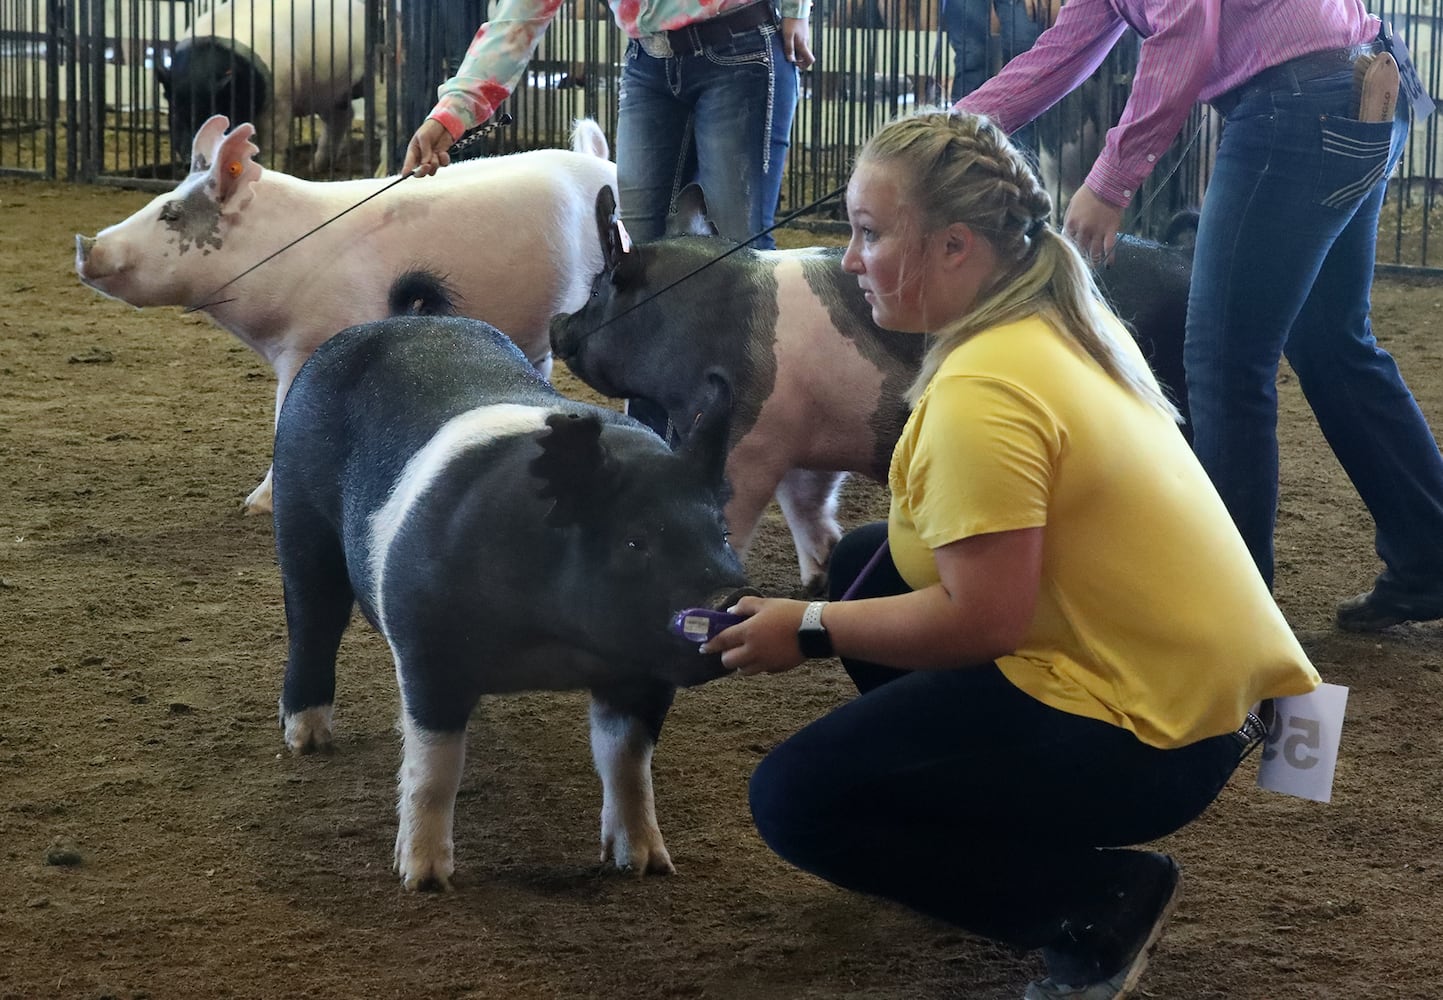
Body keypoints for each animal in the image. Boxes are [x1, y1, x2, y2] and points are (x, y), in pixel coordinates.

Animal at [158, 0, 369, 171]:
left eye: (215, 114)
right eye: (176, 114)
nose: (191, 160)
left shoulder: (280, 99)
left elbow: (272, 144)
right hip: (326, 90)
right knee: (342, 115)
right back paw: (316, 168)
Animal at [271, 272, 750, 888]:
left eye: (721, 531)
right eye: (634, 541)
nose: (729, 594)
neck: (555, 643)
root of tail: (398, 319)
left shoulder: (642, 672)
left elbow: (627, 764)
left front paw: (648, 865)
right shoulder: (429, 645)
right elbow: (434, 768)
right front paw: (425, 880)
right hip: (299, 515)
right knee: (314, 621)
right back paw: (308, 740)